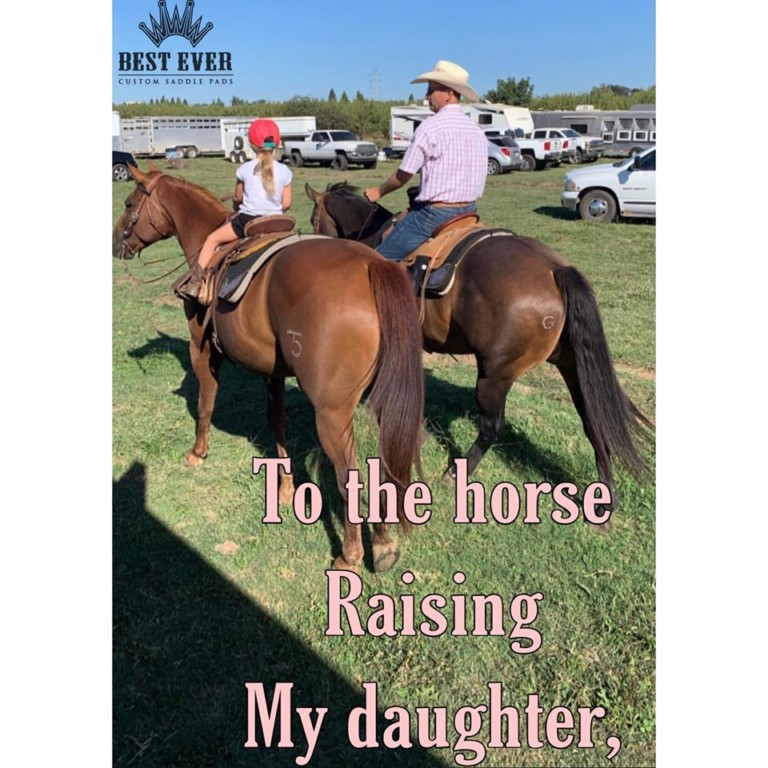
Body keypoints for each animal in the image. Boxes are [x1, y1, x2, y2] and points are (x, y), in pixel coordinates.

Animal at [113, 166, 425, 572]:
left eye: (129, 203)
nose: (116, 243)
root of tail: (373, 264)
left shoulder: (202, 350)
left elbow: (205, 403)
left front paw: (198, 452)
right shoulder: (273, 371)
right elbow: (277, 422)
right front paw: (286, 487)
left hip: (332, 414)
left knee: (349, 473)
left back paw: (351, 554)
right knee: (383, 462)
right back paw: (384, 543)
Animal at [306, 182, 653, 512]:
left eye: (313, 218)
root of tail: (556, 270)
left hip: (494, 374)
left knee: (491, 426)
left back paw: (456, 473)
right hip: (572, 365)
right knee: (594, 420)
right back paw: (606, 498)